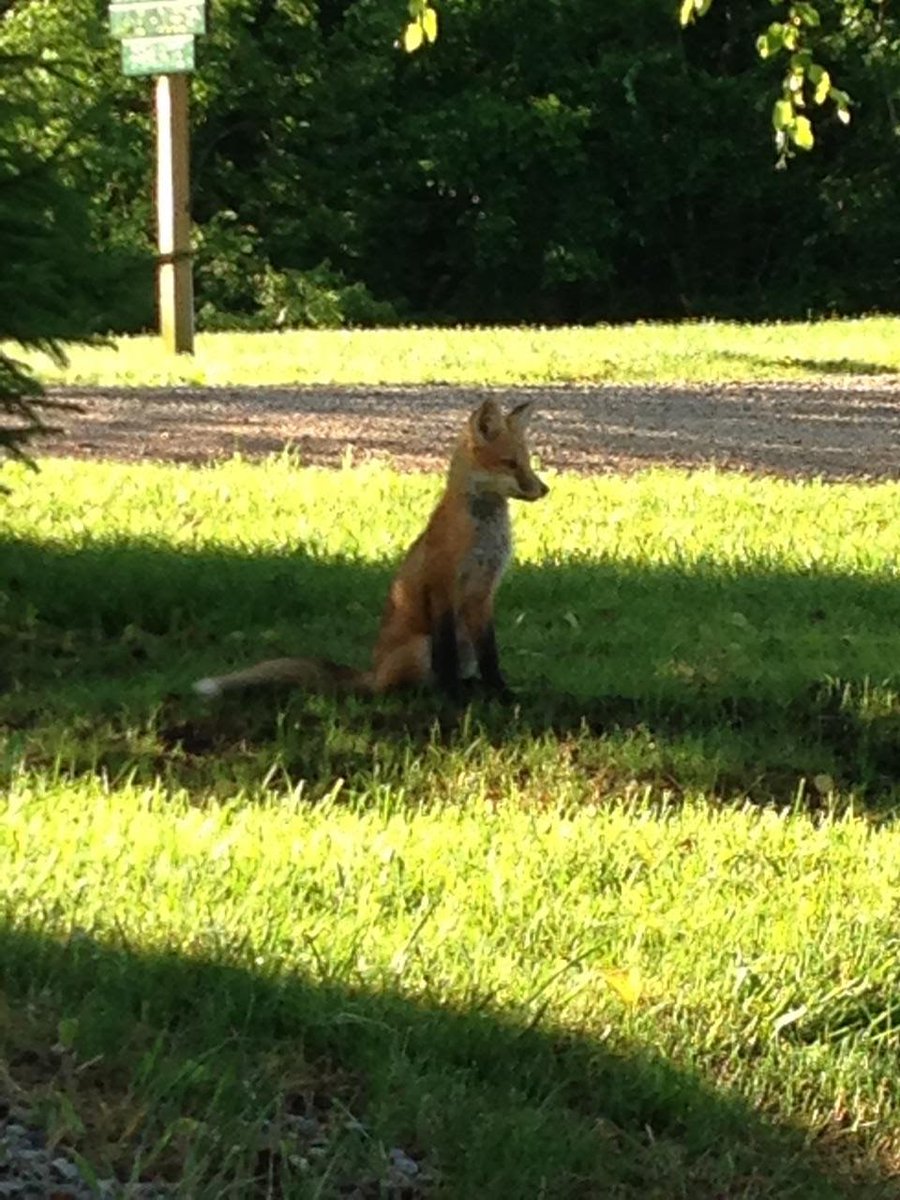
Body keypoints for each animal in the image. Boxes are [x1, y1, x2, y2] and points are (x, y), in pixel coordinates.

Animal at [193, 397, 549, 702]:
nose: (545, 489)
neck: (483, 532)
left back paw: (470, 686)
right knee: (400, 686)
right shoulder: (442, 586)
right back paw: (432, 691)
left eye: (527, 463)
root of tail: (374, 672)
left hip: (464, 647)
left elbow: (491, 656)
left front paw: (501, 693)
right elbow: (445, 655)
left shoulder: (483, 593)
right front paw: (453, 698)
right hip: (420, 647)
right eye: (510, 464)